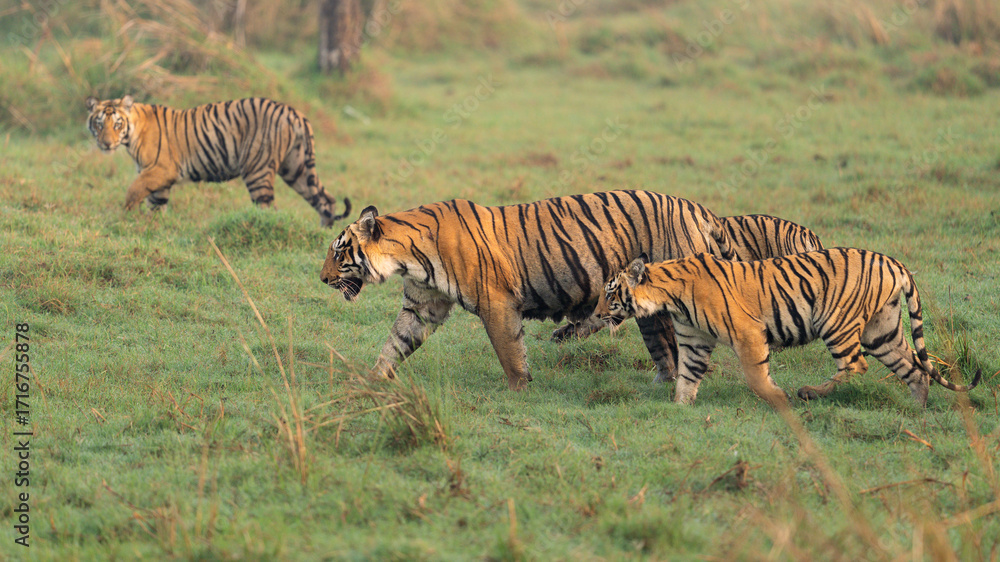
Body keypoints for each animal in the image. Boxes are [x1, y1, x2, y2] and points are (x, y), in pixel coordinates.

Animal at [85, 96, 351, 226]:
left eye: (116, 124)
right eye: (99, 124)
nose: (106, 144)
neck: (132, 133)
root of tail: (294, 112)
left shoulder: (160, 170)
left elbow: (132, 191)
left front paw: (127, 218)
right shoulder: (159, 180)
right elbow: (156, 205)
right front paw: (151, 226)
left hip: (258, 170)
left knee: (269, 209)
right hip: (296, 167)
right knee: (325, 199)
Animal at [320, 190, 737, 390]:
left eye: (338, 252)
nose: (322, 278)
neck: (407, 257)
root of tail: (701, 209)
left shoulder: (496, 302)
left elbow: (509, 351)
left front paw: (519, 391)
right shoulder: (421, 307)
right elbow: (395, 343)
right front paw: (371, 380)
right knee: (662, 346)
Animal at [597, 249, 981, 409]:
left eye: (611, 294)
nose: (597, 314)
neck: (669, 296)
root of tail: (893, 261)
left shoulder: (748, 334)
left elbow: (756, 377)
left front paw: (778, 399)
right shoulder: (694, 341)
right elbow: (687, 377)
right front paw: (679, 407)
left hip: (837, 323)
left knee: (855, 364)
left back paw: (808, 393)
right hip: (881, 331)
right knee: (914, 368)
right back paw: (916, 409)